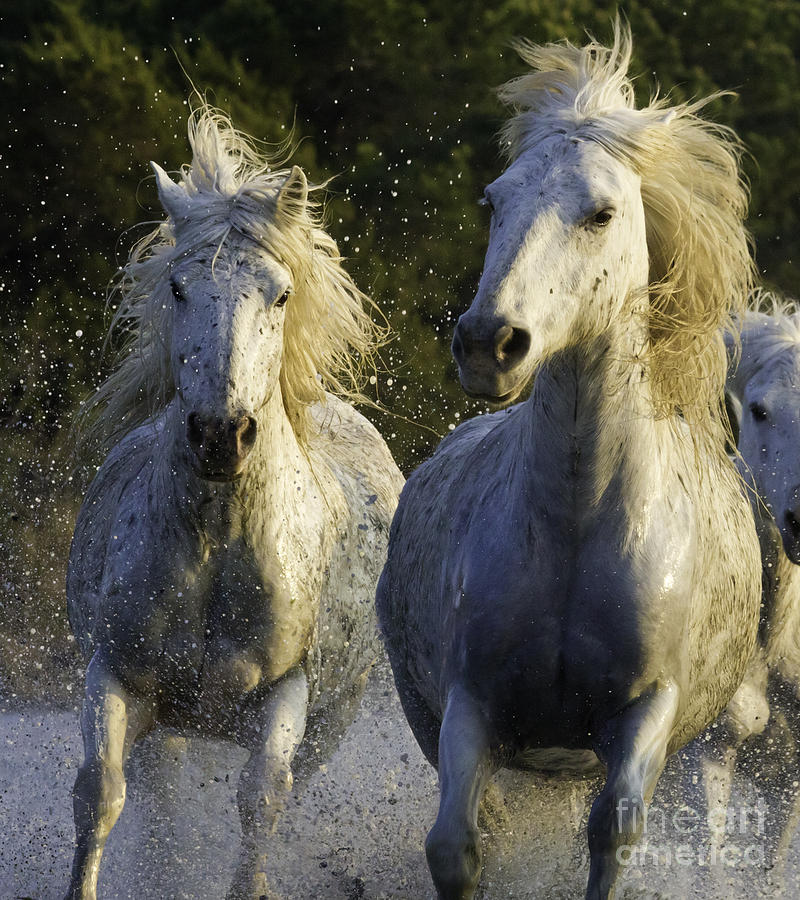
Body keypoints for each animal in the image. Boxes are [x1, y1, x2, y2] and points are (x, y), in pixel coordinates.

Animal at [65, 102, 404, 896]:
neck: (220, 543)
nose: (222, 435)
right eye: (178, 287)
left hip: (331, 723)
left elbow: (261, 803)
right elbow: (102, 793)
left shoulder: (287, 696)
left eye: (280, 293)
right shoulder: (116, 675)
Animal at [376, 22, 764, 900]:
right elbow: (458, 844)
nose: (489, 343)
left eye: (601, 212)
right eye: (493, 202)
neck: (578, 525)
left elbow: (612, 835)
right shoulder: (470, 702)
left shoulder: (645, 712)